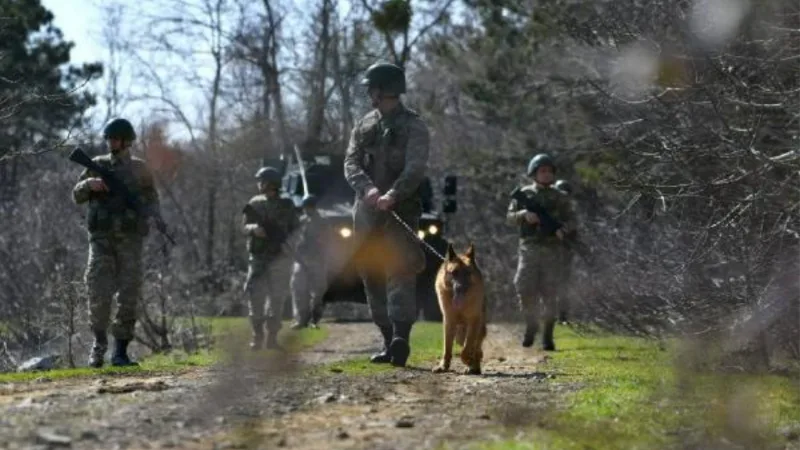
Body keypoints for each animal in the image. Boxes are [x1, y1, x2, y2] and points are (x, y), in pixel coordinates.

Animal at [434, 244, 484, 374]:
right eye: (454, 272)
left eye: (468, 273)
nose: (460, 288)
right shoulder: (449, 321)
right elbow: (447, 347)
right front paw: (443, 366)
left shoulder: (474, 321)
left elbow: (467, 348)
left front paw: (468, 360)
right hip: (459, 334)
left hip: (476, 329)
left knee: (476, 348)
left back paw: (473, 366)